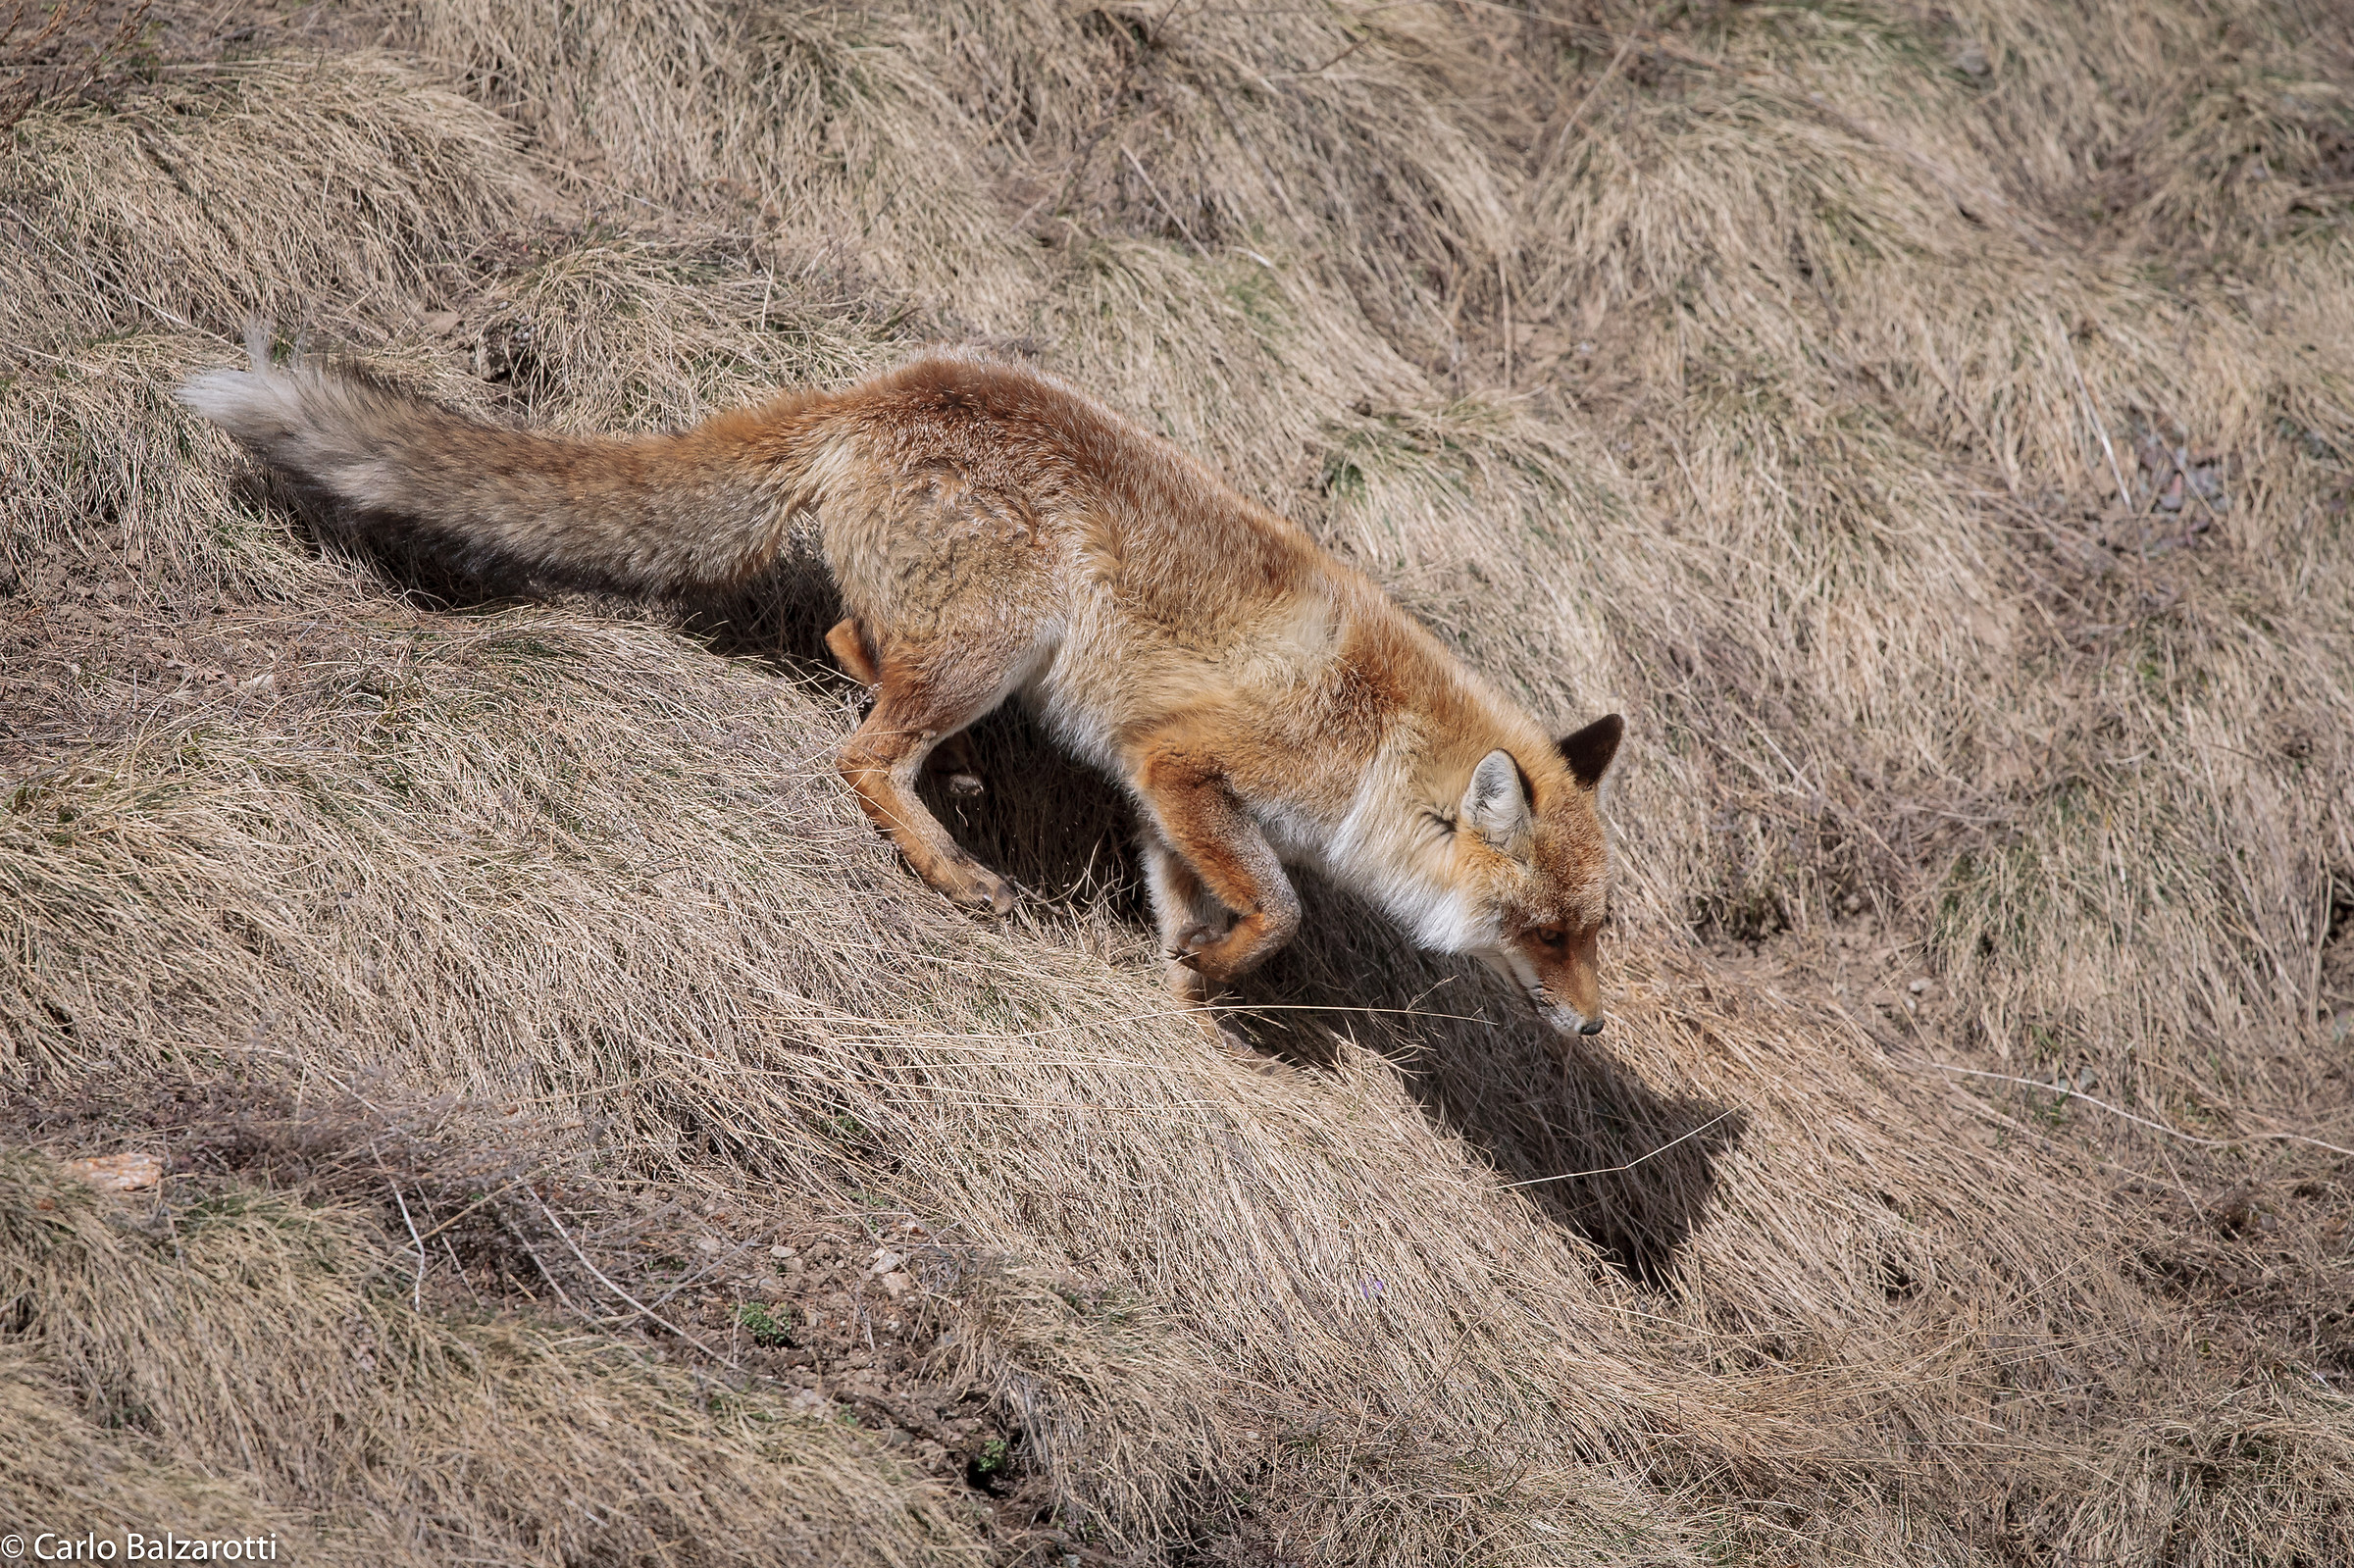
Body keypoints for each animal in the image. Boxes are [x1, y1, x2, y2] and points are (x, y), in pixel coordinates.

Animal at [177, 341, 1625, 1036]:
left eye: (1590, 928)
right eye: (1549, 930)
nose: (1596, 1026)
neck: (1375, 747)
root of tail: (884, 389)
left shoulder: (1166, 797)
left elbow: (1193, 910)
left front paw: (1187, 994)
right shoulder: (1187, 762)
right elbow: (1275, 910)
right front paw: (1218, 975)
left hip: (970, 648)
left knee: (845, 645)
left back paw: (947, 777)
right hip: (1004, 643)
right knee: (863, 753)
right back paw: (945, 859)